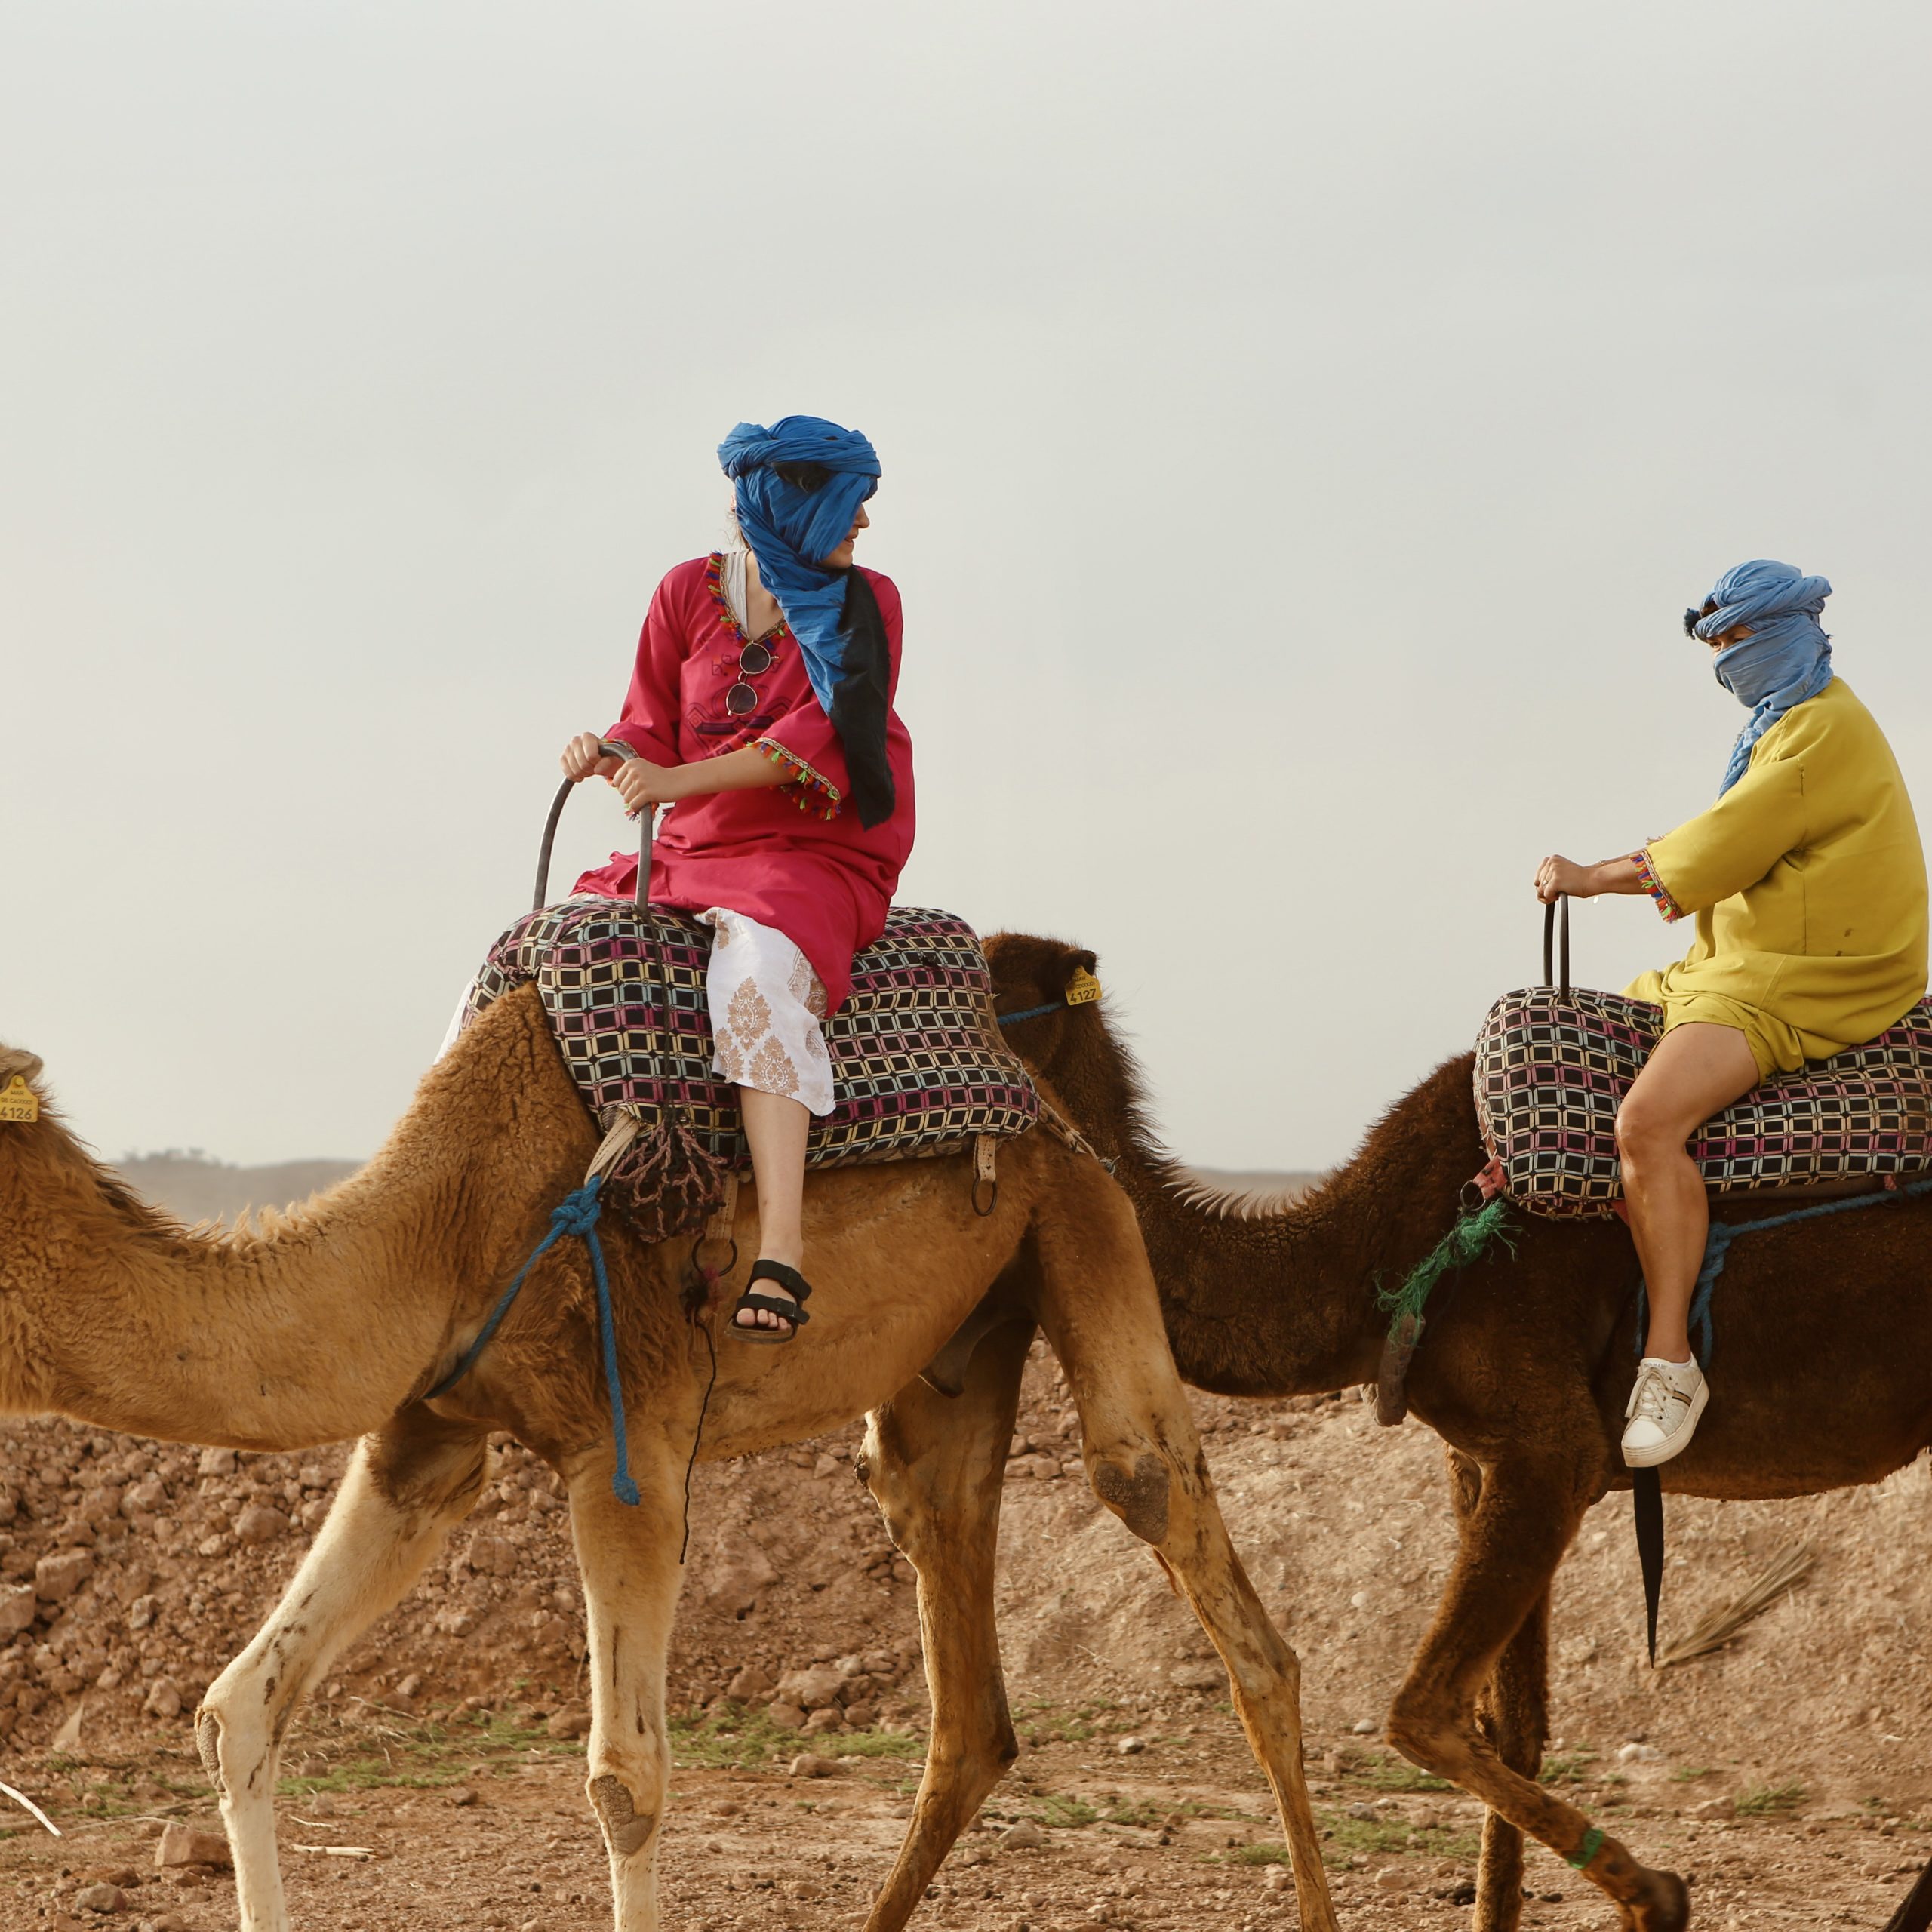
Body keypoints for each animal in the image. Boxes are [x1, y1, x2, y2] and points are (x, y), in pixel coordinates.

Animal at [0, 983, 1341, 1932]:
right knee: (962, 1670)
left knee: (1187, 1544)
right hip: (957, 1351)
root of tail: (1041, 1093)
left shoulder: (626, 1441)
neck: (440, 1227)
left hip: (1079, 1216)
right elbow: (240, 1707)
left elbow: (625, 1785)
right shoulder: (426, 1436)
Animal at [942, 930, 1932, 1932]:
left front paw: (1657, 1895)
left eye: (979, 986)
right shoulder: (1483, 1455)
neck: (1369, 1254)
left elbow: (1423, 1712)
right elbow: (1512, 1727)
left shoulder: (1552, 1452)